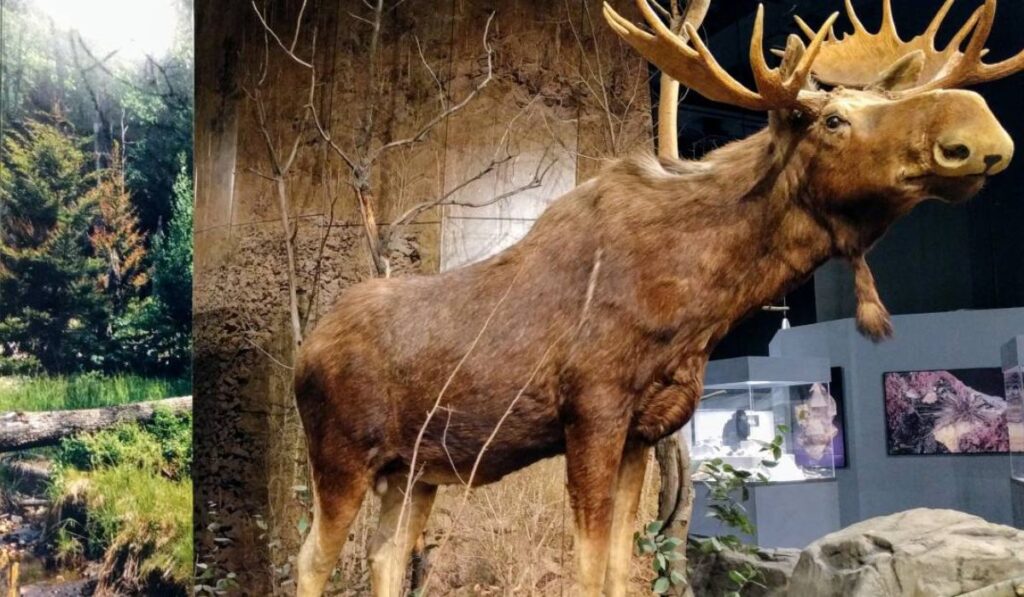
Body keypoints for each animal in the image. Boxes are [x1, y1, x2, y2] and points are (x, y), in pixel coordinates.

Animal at [294, 1, 1022, 595]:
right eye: (835, 119)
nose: (980, 132)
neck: (699, 308)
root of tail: (303, 353)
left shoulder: (642, 432)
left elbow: (622, 569)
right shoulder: (593, 414)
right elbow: (590, 571)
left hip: (413, 470)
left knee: (385, 555)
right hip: (341, 455)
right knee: (313, 558)